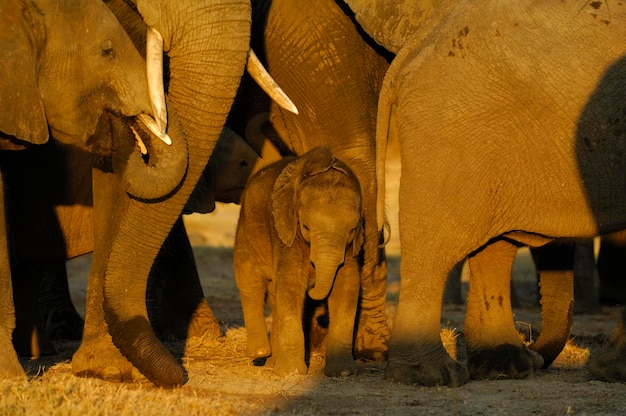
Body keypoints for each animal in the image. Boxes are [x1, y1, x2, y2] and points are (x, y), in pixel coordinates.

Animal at [233, 146, 360, 376]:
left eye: (352, 230)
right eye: (306, 227)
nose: (322, 318)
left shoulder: (351, 246)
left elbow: (347, 284)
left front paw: (343, 373)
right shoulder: (285, 230)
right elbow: (291, 281)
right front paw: (292, 373)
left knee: (273, 296)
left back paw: (272, 364)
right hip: (246, 228)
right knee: (249, 281)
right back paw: (260, 353)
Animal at [344, 0, 624, 386]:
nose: (541, 354)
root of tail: (417, 45)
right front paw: (614, 371)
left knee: (493, 242)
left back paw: (506, 367)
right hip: (453, 123)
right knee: (436, 242)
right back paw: (434, 376)